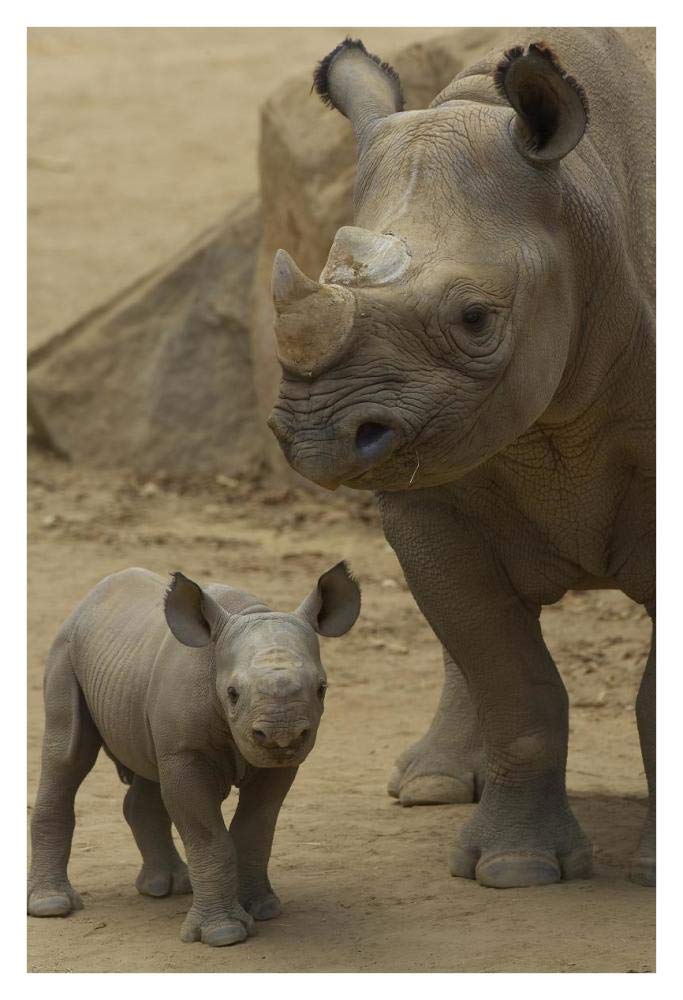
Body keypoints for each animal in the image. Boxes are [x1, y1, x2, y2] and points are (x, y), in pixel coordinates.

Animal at [28, 563, 360, 946]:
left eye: (322, 688)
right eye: (232, 693)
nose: (281, 734)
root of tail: (86, 602)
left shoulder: (278, 765)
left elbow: (256, 826)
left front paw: (262, 908)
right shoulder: (186, 753)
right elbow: (207, 835)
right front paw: (224, 934)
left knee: (148, 771)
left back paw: (170, 887)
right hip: (64, 650)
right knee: (68, 755)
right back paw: (52, 906)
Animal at [268, 30, 655, 889]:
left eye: (476, 318)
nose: (313, 435)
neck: (581, 200)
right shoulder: (430, 487)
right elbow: (508, 673)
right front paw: (514, 868)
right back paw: (432, 785)